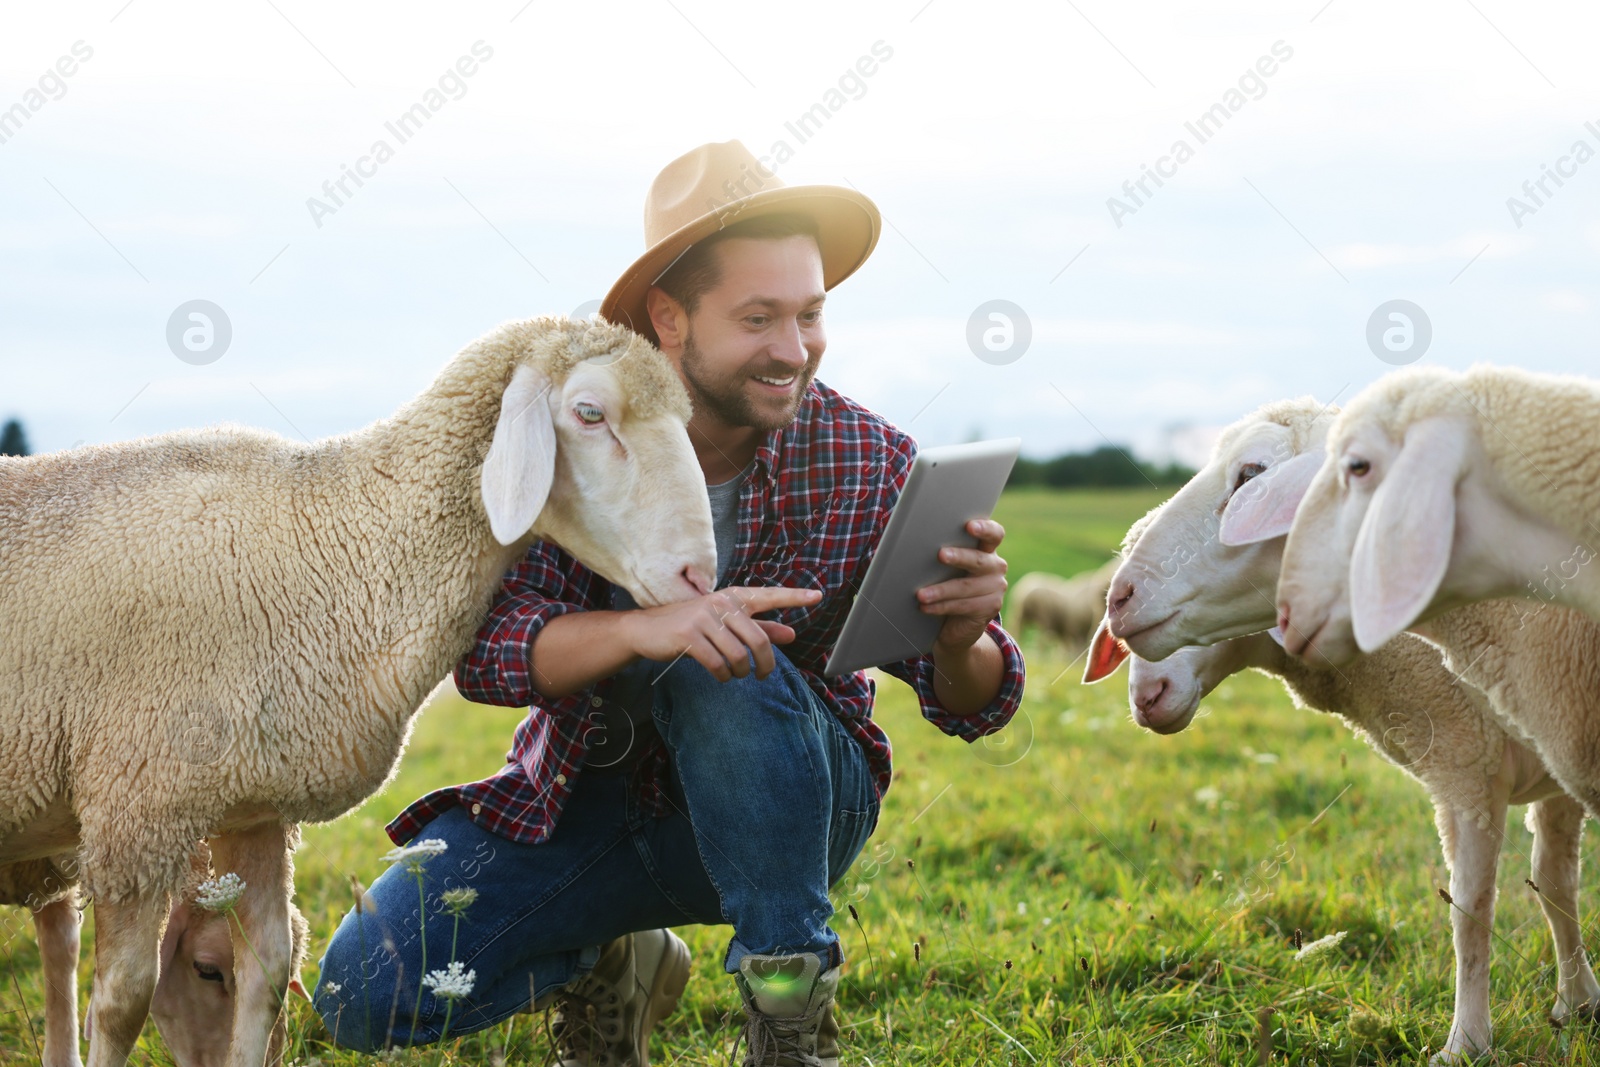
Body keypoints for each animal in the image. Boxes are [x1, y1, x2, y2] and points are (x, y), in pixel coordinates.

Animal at [0, 316, 716, 1067]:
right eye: (589, 413)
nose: (700, 575)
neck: (330, 545)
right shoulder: (136, 815)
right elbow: (121, 1002)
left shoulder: (253, 807)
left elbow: (266, 972)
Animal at [1088, 627, 1600, 1062]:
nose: (1146, 698)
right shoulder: (1555, 757)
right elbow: (1555, 885)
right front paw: (1577, 1003)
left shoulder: (1469, 758)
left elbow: (1469, 909)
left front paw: (1466, 1044)